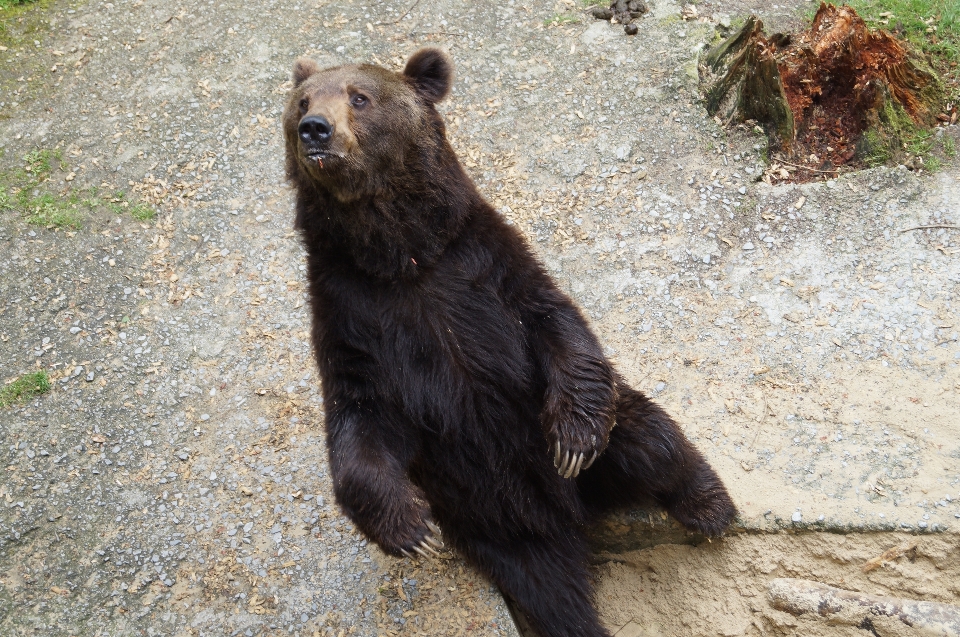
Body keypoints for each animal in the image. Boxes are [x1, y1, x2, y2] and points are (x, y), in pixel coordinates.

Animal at [284, 47, 736, 632]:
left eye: (359, 97)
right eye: (301, 101)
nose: (314, 129)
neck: (402, 257)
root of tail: (572, 511)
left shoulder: (484, 265)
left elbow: (552, 320)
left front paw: (573, 439)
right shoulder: (351, 315)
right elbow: (357, 417)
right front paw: (410, 531)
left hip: (591, 447)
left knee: (653, 440)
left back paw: (710, 508)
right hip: (494, 526)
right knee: (551, 595)